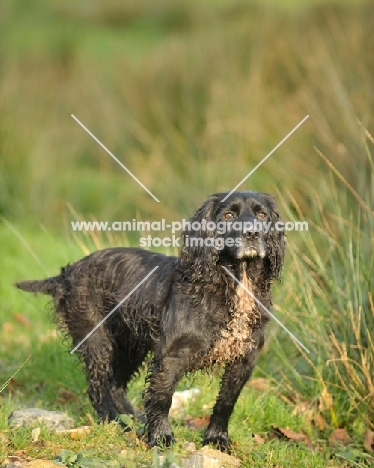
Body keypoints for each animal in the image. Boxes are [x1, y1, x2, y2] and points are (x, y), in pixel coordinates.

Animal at [16, 190, 284, 450]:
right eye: (228, 215)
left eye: (261, 215)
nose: (252, 233)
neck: (232, 284)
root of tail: (69, 272)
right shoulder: (171, 354)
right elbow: (162, 397)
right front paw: (161, 438)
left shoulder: (245, 358)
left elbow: (226, 401)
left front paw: (216, 439)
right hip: (97, 341)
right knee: (97, 387)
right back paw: (114, 422)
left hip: (129, 347)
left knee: (115, 385)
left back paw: (133, 418)